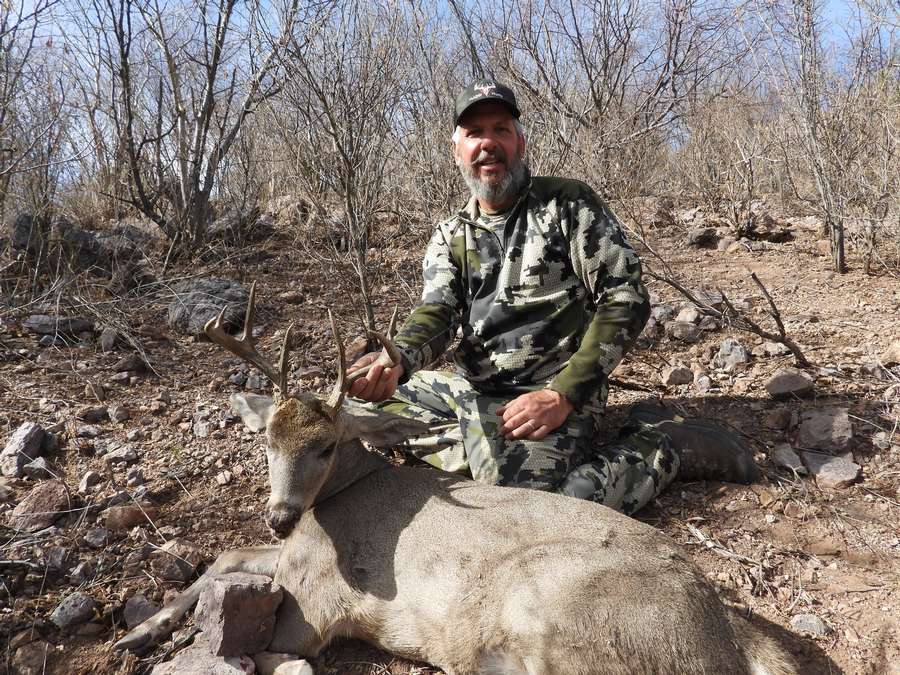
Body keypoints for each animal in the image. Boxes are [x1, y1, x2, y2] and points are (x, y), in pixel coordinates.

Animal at [115, 284, 797, 675]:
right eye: (266, 442)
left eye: (326, 446)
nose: (279, 515)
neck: (339, 498)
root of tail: (732, 640)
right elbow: (226, 554)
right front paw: (141, 631)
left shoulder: (316, 602)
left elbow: (265, 638)